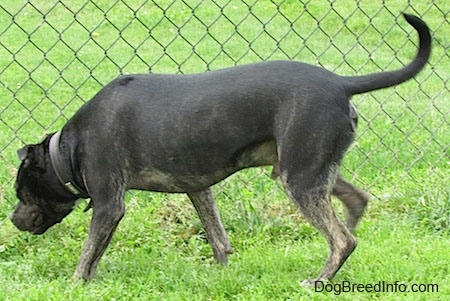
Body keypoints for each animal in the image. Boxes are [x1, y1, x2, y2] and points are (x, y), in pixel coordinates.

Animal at [12, 12, 430, 282]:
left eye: (21, 192)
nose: (13, 220)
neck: (67, 150)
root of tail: (341, 83)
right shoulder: (197, 187)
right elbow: (216, 236)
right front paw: (220, 271)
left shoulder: (109, 205)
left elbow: (88, 254)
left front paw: (75, 284)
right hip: (310, 168)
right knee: (354, 204)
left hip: (300, 178)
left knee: (343, 239)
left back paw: (321, 279)